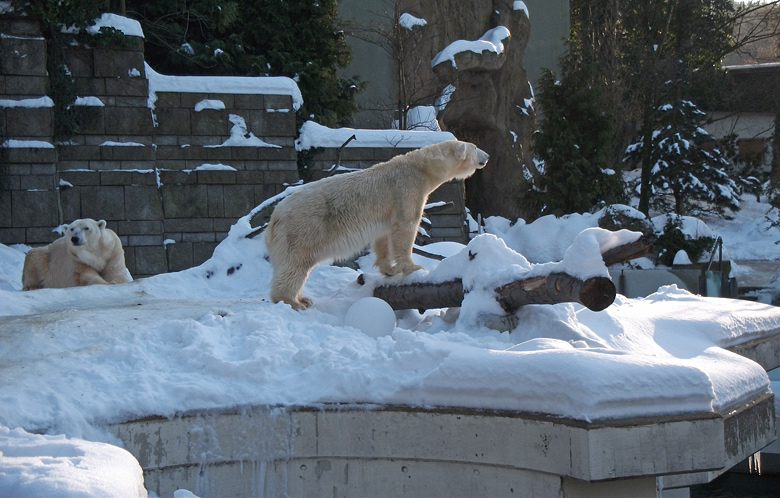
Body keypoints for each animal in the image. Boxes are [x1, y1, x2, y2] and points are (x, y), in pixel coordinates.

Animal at [266, 140, 488, 310]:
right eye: (475, 147)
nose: (487, 156)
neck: (421, 167)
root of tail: (275, 217)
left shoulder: (387, 212)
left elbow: (384, 236)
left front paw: (389, 269)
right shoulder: (407, 188)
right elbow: (406, 226)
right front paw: (413, 267)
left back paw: (304, 298)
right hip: (303, 229)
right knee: (296, 264)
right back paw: (292, 301)